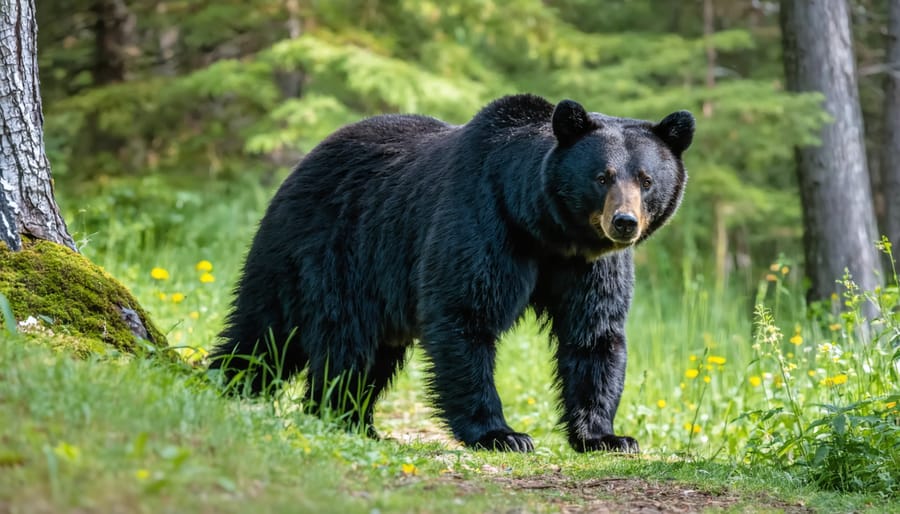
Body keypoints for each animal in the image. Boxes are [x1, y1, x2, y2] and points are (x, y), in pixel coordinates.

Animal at [209, 94, 694, 453]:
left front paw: (607, 436)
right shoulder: (483, 222)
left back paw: (355, 422)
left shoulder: (589, 266)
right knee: (291, 333)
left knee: (369, 353)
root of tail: (303, 163)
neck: (544, 227)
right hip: (329, 250)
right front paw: (502, 434)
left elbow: (595, 333)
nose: (624, 223)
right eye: (602, 176)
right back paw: (242, 386)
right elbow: (465, 315)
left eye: (646, 179)